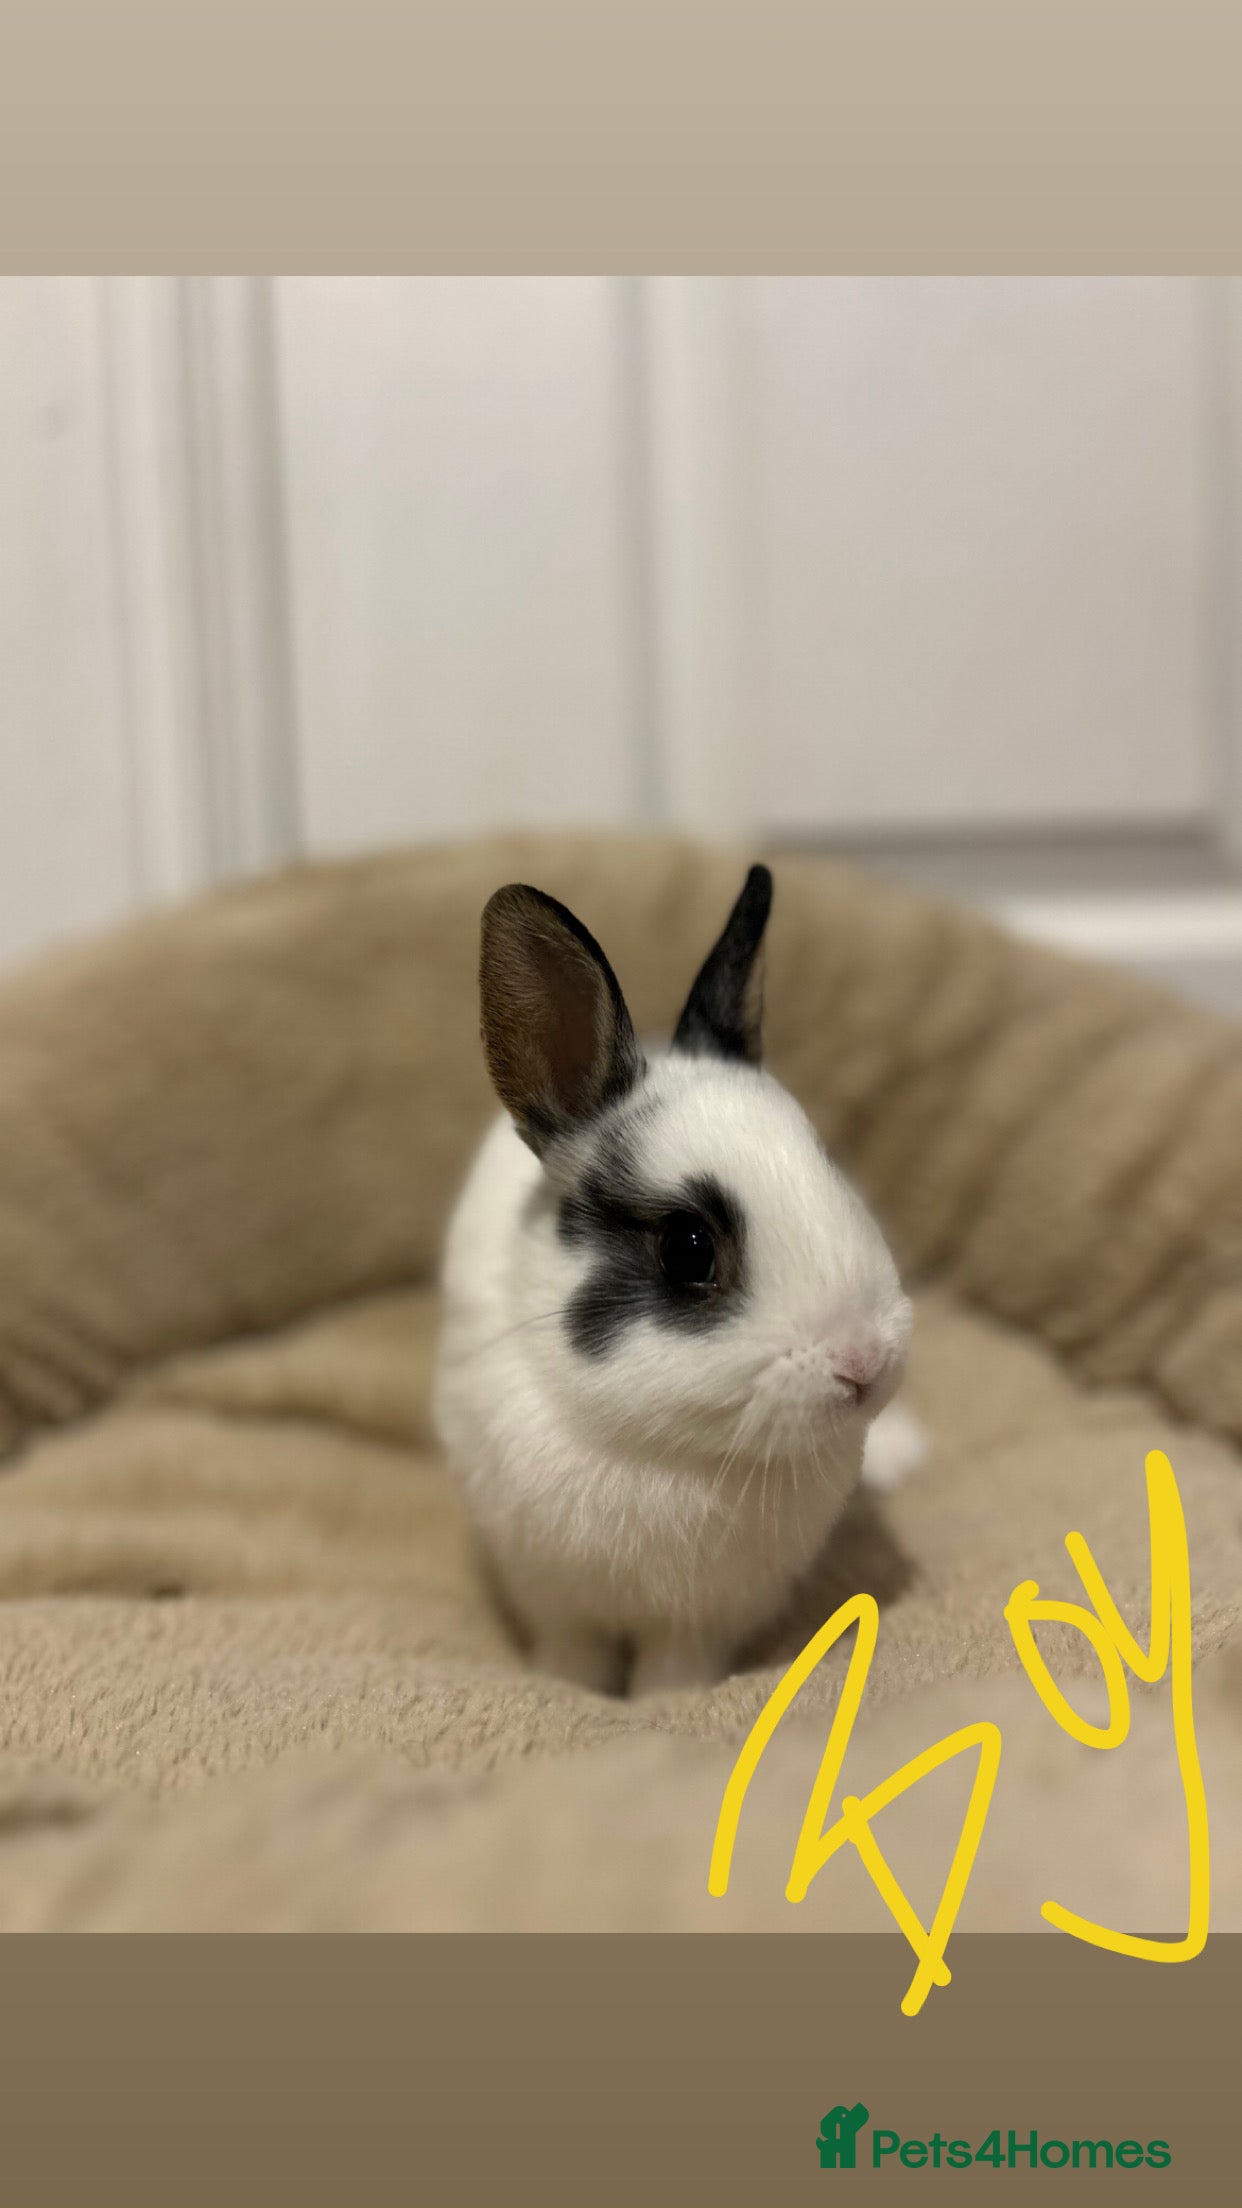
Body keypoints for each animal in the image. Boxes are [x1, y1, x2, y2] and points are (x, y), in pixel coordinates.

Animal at [433, 863, 923, 1698]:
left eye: (827, 1165)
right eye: (688, 1249)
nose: (863, 1366)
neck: (665, 1450)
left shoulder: (704, 1618)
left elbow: (678, 1672)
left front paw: (673, 1705)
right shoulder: (553, 1595)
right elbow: (573, 1654)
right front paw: (568, 1691)